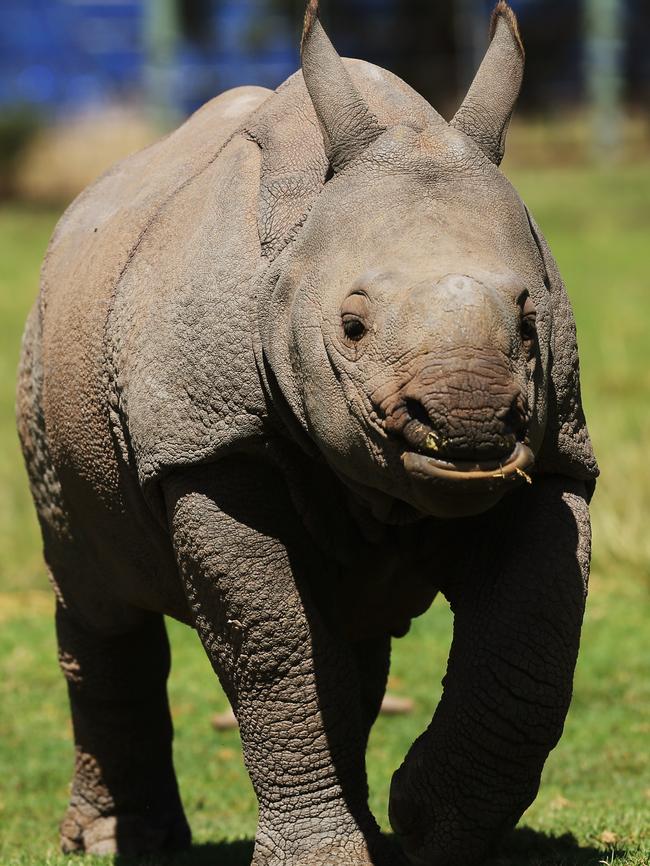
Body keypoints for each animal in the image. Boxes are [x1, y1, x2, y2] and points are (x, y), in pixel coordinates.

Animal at [17, 1, 596, 864]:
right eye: (351, 328)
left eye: (530, 324)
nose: (469, 421)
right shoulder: (207, 445)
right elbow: (276, 649)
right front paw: (330, 853)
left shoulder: (557, 456)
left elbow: (533, 631)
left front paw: (428, 825)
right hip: (47, 354)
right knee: (96, 591)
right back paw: (115, 840)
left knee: (354, 632)